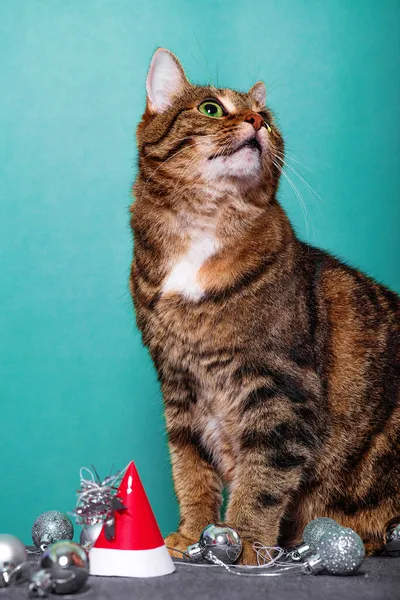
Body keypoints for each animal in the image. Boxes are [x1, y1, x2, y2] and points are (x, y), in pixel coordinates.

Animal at [130, 47, 398, 564]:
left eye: (268, 119)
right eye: (211, 108)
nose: (255, 120)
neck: (203, 228)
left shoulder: (280, 388)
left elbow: (264, 478)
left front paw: (246, 543)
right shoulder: (178, 384)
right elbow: (189, 468)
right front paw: (194, 536)